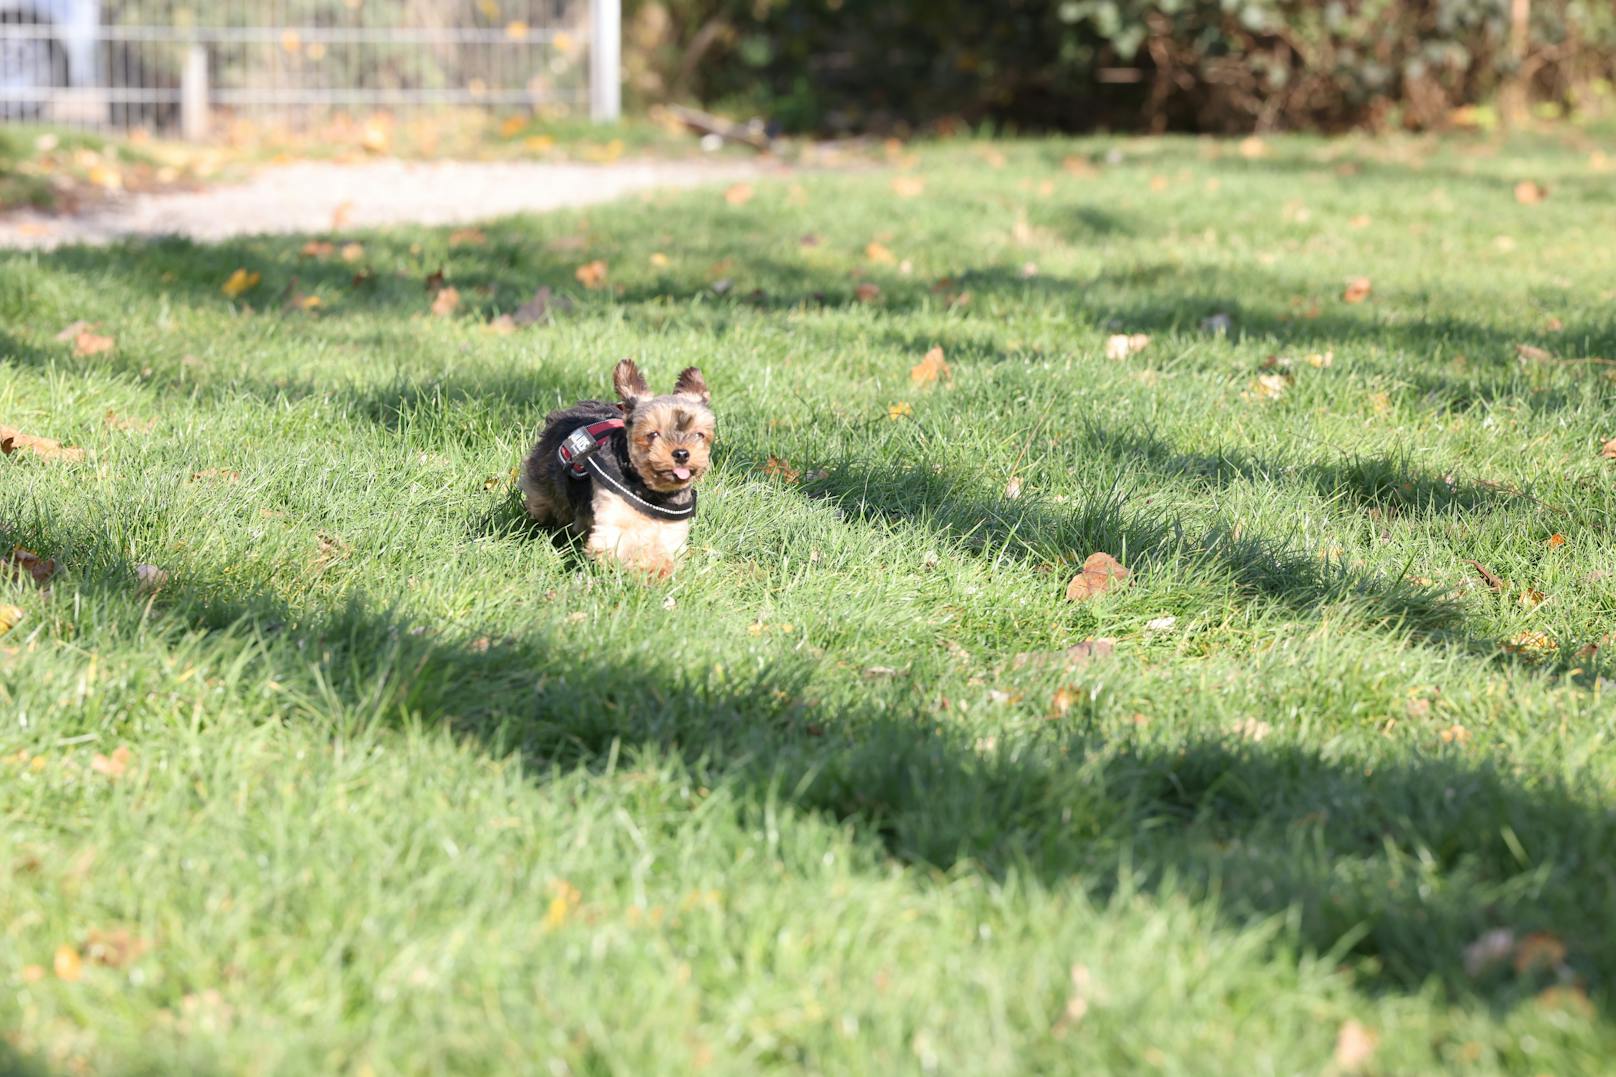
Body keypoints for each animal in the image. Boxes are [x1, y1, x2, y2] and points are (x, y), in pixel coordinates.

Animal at [523, 359, 714, 578]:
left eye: (699, 435)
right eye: (652, 434)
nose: (681, 453)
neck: (651, 492)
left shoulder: (672, 529)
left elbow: (665, 549)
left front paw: (661, 568)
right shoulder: (612, 521)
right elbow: (624, 544)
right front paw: (647, 568)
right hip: (543, 484)